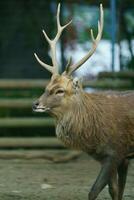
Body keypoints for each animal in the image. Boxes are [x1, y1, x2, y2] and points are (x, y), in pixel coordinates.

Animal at [32, 3, 134, 200]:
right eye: (47, 86)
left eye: (60, 90)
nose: (36, 104)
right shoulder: (116, 157)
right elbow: (116, 191)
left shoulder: (116, 152)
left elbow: (94, 191)